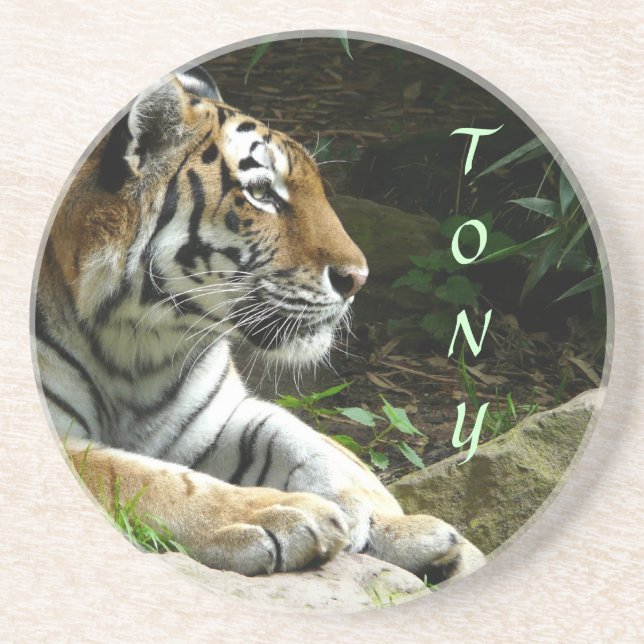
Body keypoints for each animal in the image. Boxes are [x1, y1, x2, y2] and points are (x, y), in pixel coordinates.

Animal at [34, 66, 485, 583]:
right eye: (261, 193)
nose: (358, 279)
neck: (134, 342)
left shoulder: (211, 418)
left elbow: (308, 445)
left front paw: (396, 524)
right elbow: (141, 477)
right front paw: (281, 514)